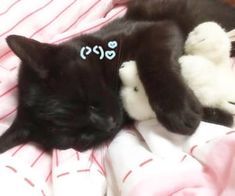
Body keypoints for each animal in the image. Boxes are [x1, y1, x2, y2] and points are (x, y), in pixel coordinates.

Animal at [0, 0, 235, 152]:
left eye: (86, 97)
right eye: (76, 137)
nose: (109, 124)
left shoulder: (160, 28)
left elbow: (151, 59)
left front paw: (178, 111)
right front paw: (218, 115)